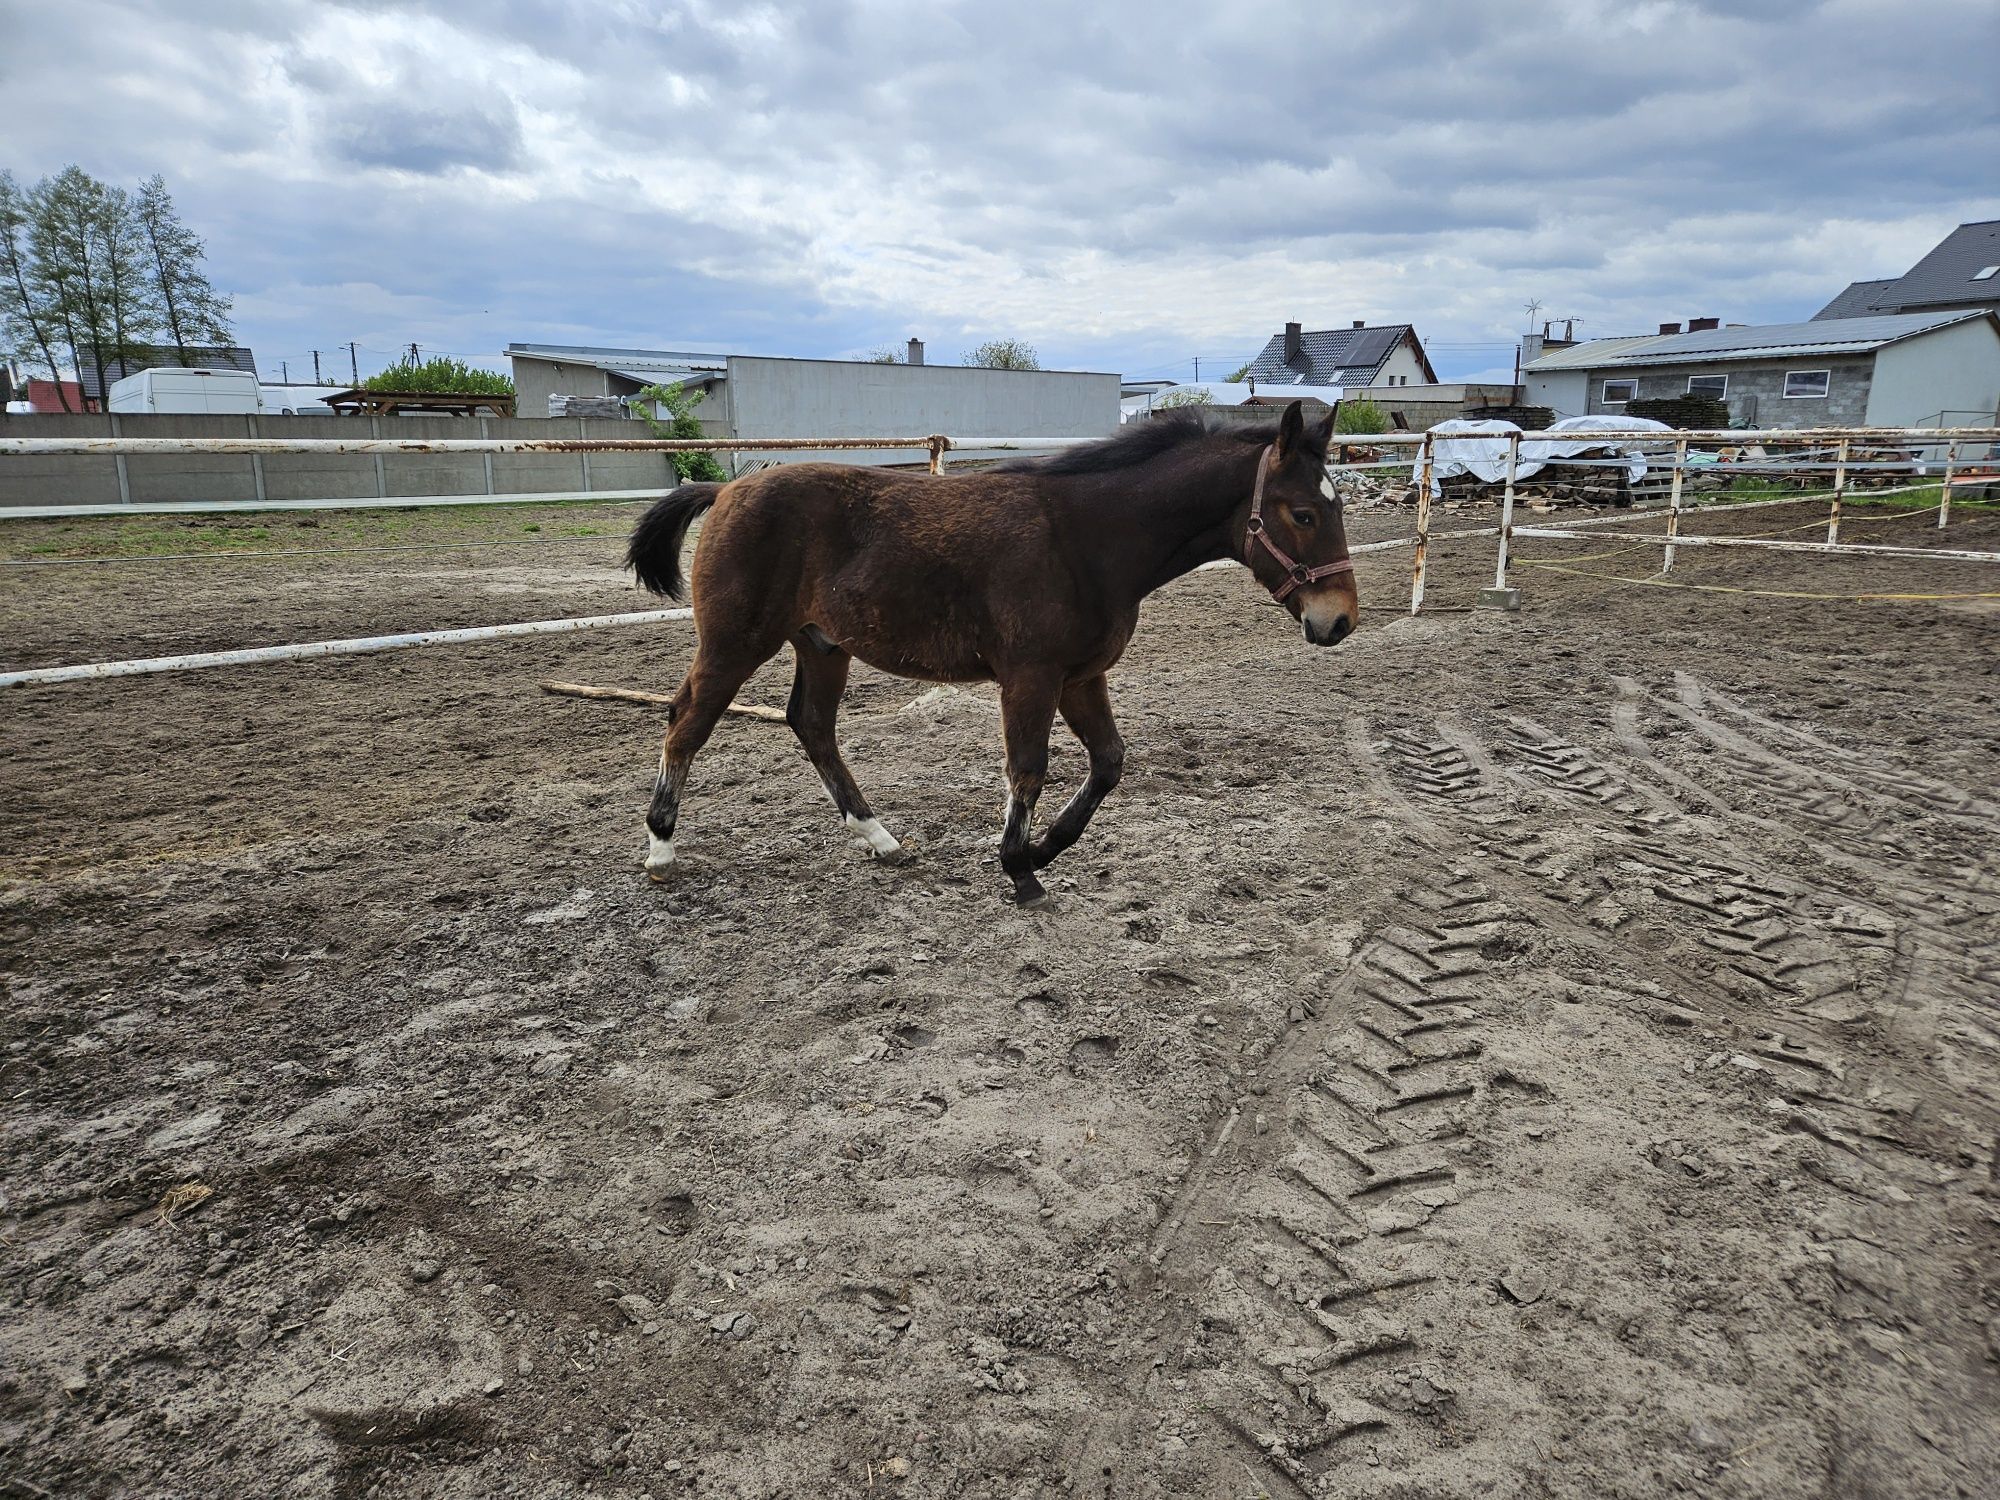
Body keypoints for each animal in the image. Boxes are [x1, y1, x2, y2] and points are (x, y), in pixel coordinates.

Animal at [632, 400, 1360, 904]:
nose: (1340, 620)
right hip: (735, 643)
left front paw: (1041, 852)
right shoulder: (1031, 677)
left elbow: (1109, 763)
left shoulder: (1080, 678)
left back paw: (881, 839)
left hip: (823, 646)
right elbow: (1029, 768)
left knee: (812, 727)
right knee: (687, 720)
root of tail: (727, 490)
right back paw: (660, 848)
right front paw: (1020, 870)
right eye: (1302, 514)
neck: (1085, 538)